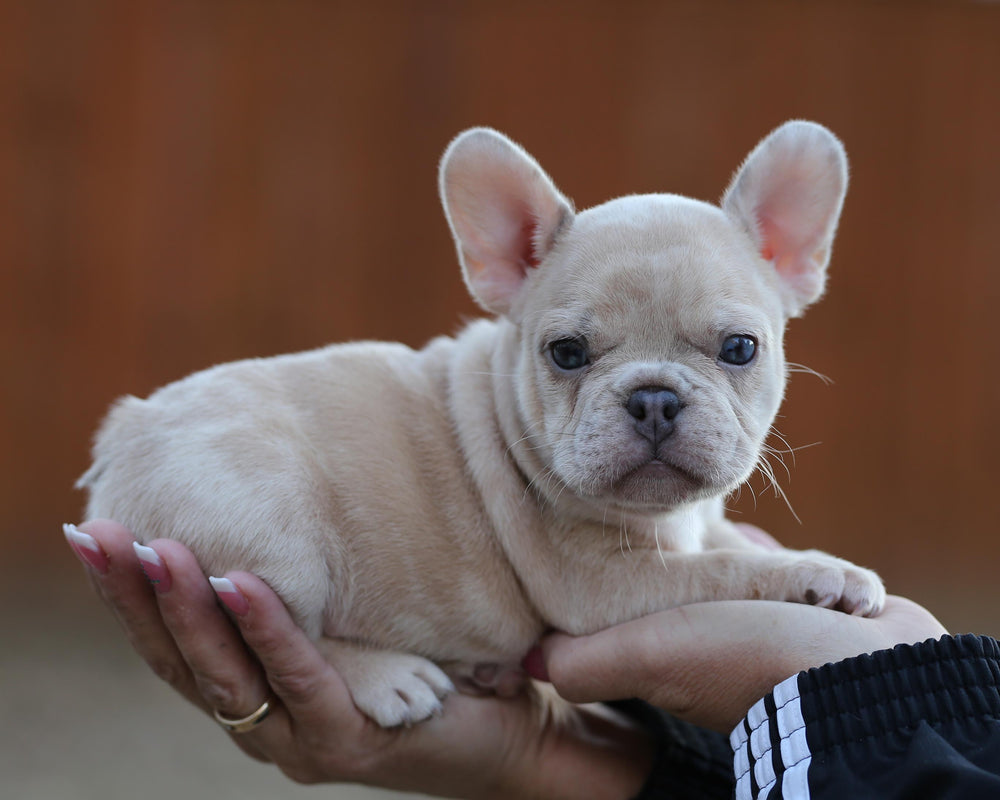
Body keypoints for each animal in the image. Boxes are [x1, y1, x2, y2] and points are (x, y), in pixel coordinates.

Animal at [82, 122, 888, 728]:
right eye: (567, 354)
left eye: (740, 349)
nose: (654, 397)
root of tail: (119, 441)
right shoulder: (602, 587)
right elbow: (729, 572)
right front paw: (813, 575)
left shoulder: (688, 529)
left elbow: (724, 546)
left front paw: (828, 565)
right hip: (272, 533)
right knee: (286, 639)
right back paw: (389, 678)